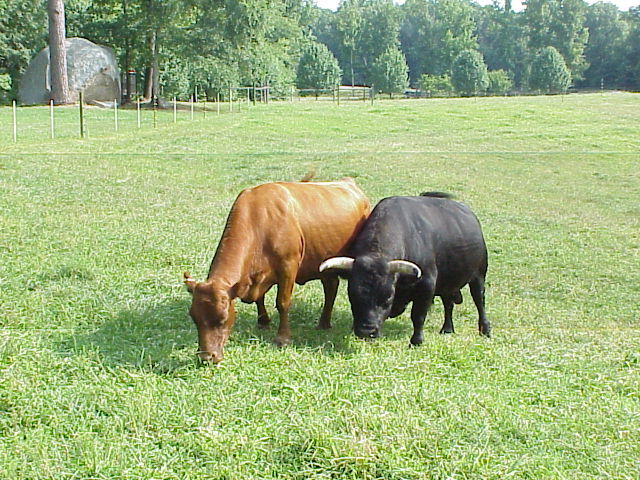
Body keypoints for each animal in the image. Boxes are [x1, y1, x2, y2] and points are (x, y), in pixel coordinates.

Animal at [184, 178, 370, 363]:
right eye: (194, 317)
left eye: (222, 319)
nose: (207, 357)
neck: (258, 221)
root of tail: (347, 182)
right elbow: (260, 298)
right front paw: (263, 322)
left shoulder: (288, 266)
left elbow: (282, 302)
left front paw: (283, 338)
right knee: (331, 286)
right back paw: (324, 323)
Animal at [319, 192, 490, 345]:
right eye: (352, 294)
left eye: (388, 296)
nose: (367, 331)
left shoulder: (426, 284)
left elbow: (418, 316)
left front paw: (416, 341)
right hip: (447, 283)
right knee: (448, 304)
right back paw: (447, 329)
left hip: (478, 276)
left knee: (479, 301)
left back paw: (485, 330)